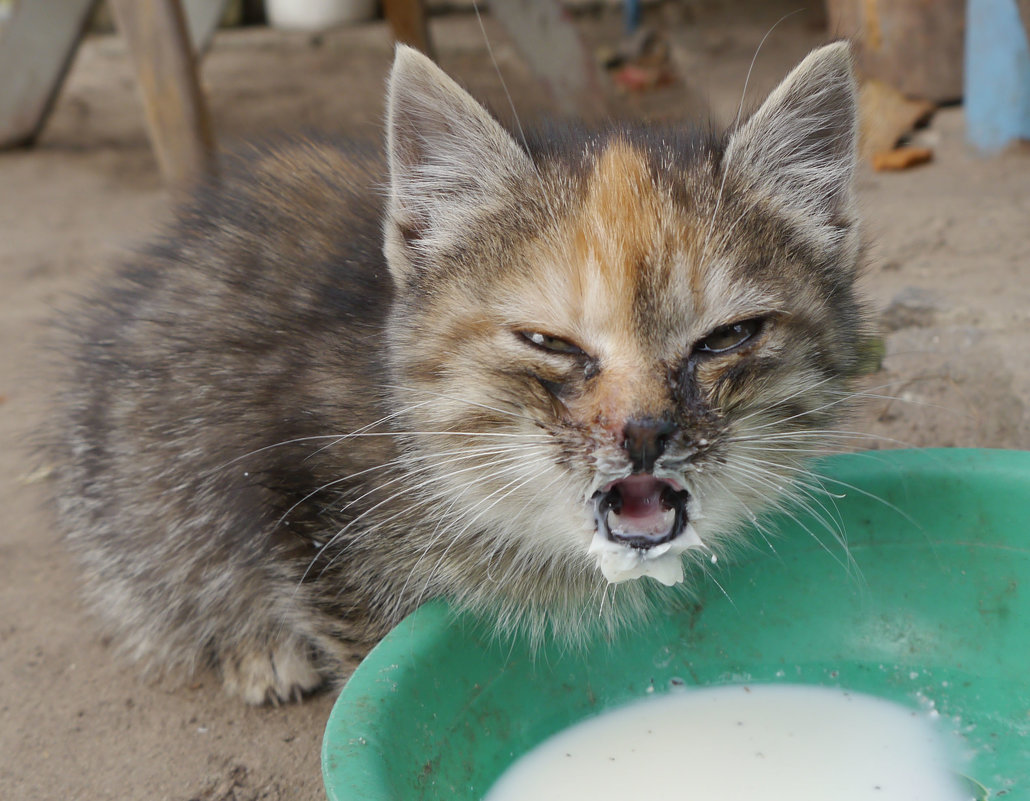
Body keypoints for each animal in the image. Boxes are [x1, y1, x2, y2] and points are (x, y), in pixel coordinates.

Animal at [54, 43, 861, 704]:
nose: (643, 433)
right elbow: (361, 643)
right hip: (139, 466)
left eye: (726, 338)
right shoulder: (287, 486)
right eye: (547, 341)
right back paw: (254, 648)